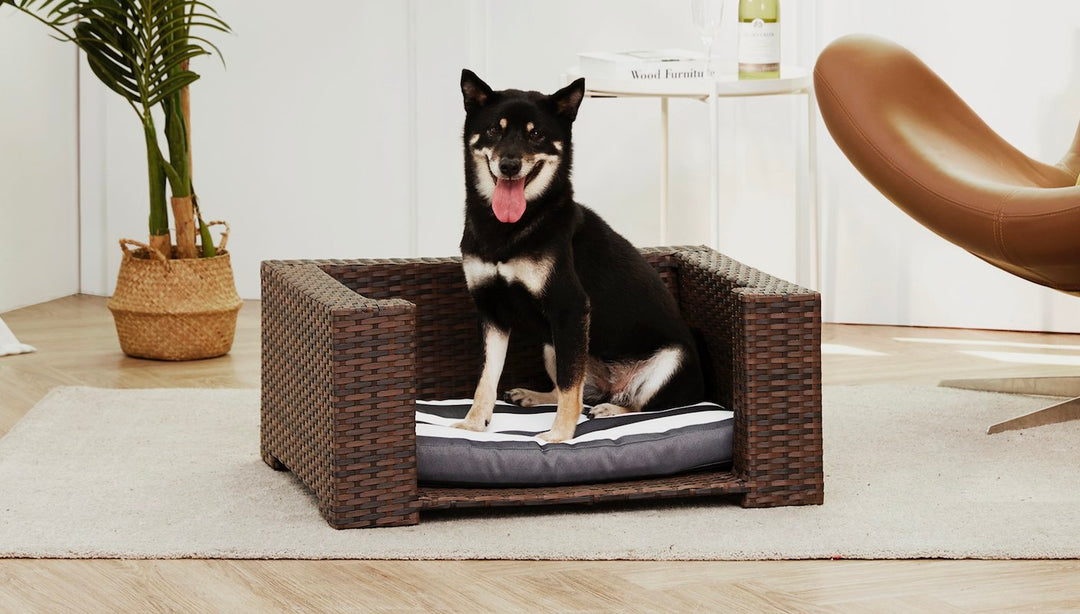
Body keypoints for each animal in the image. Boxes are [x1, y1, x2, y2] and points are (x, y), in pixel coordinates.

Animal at [451, 70, 704, 440]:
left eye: (536, 134)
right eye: (494, 130)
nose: (509, 165)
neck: (510, 228)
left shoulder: (569, 308)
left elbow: (571, 386)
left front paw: (558, 435)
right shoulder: (492, 311)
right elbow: (487, 378)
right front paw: (473, 423)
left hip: (670, 361)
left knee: (637, 403)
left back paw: (612, 408)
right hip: (553, 345)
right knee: (576, 386)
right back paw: (534, 395)